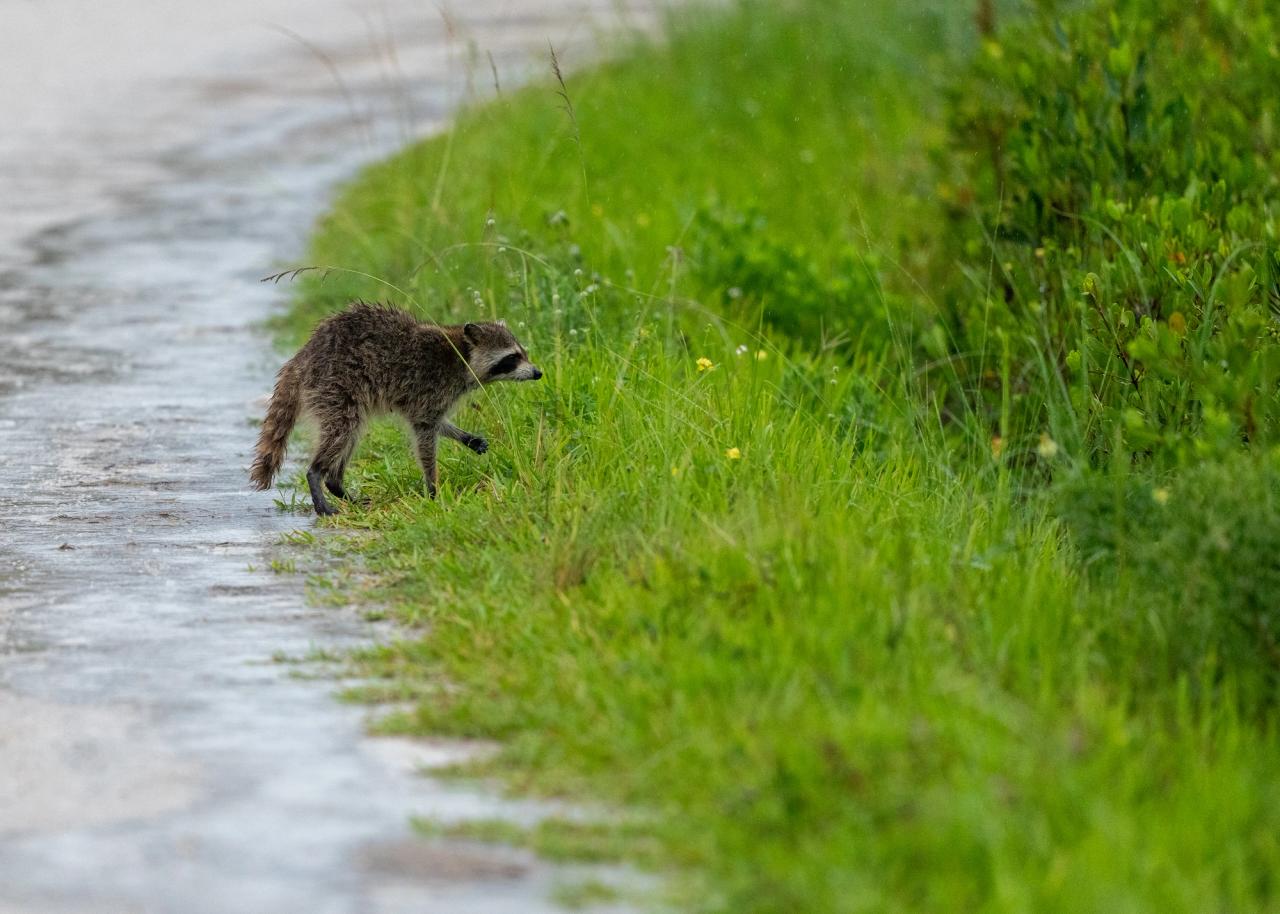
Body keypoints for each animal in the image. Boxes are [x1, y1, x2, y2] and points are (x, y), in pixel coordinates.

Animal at [250, 302, 541, 515]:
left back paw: (336, 483)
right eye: (512, 358)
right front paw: (432, 487)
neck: (460, 353)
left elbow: (436, 423)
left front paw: (465, 437)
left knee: (349, 435)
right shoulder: (430, 385)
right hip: (335, 386)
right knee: (341, 432)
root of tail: (304, 356)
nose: (538, 373)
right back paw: (317, 475)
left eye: (523, 352)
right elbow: (424, 433)